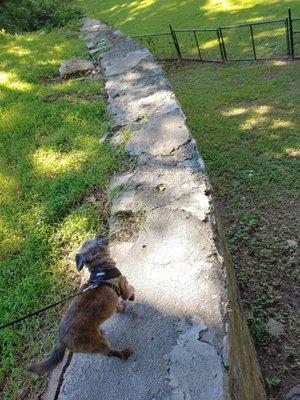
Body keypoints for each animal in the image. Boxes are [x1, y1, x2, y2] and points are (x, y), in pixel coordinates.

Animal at [29, 234, 135, 376]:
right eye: (96, 240)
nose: (100, 234)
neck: (101, 269)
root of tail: (61, 340)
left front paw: (121, 308)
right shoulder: (123, 284)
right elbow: (130, 291)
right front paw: (132, 297)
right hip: (96, 344)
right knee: (110, 352)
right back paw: (124, 353)